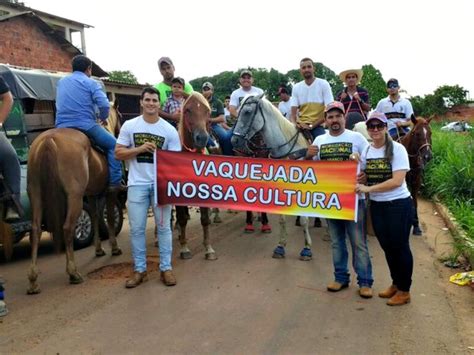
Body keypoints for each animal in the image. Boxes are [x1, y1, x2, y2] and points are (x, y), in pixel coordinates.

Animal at [25, 128, 122, 294]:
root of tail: (49, 138)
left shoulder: (91, 194)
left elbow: (95, 217)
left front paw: (98, 249)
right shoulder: (109, 193)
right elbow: (109, 217)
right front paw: (114, 247)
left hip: (36, 194)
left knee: (36, 230)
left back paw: (33, 280)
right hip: (75, 196)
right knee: (68, 228)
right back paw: (73, 273)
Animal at [175, 92, 218, 262]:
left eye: (208, 111)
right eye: (187, 110)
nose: (202, 138)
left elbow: (204, 220)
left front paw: (209, 249)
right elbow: (181, 219)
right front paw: (184, 248)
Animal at [231, 94, 314, 262]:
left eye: (247, 112)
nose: (234, 141)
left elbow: (305, 220)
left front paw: (307, 248)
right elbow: (282, 219)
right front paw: (281, 246)